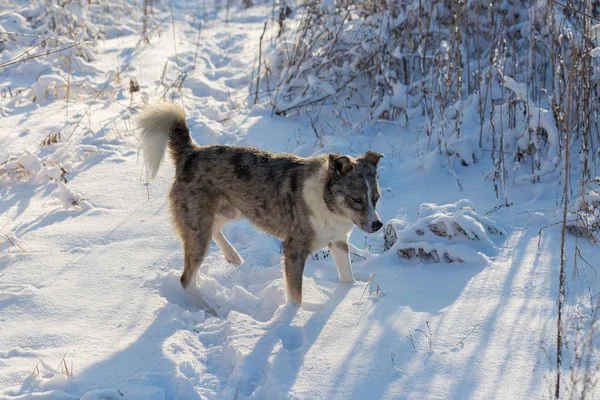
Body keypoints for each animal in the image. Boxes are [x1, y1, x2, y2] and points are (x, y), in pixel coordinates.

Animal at [137, 101, 384, 314]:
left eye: (376, 198)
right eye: (356, 199)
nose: (378, 225)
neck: (326, 202)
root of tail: (191, 153)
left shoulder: (338, 242)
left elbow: (348, 277)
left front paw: (348, 296)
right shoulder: (294, 250)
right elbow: (296, 296)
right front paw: (291, 319)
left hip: (234, 209)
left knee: (215, 227)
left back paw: (233, 257)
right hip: (199, 228)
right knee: (186, 278)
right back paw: (207, 308)